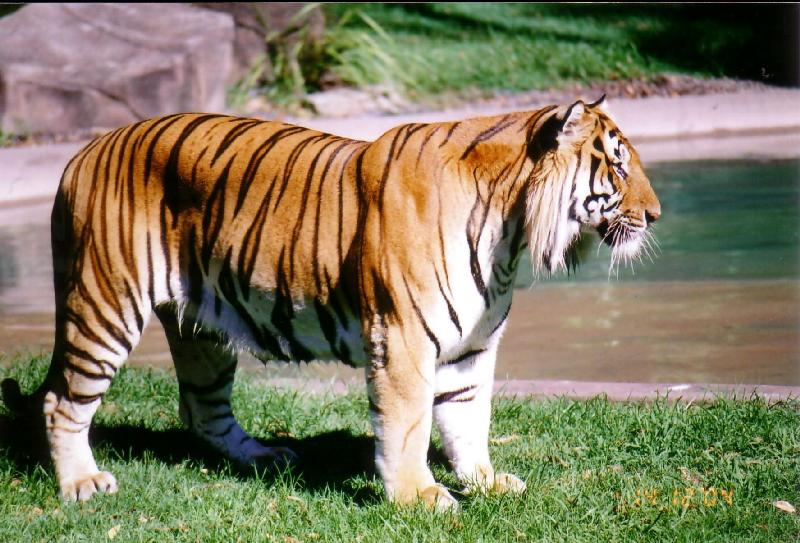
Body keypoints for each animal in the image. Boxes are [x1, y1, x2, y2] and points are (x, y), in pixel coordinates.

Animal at [2, 96, 660, 510]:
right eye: (618, 165)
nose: (655, 214)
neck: (511, 234)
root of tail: (82, 154)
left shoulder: (469, 347)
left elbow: (469, 419)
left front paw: (487, 482)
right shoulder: (403, 338)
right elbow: (410, 423)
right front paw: (418, 497)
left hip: (204, 329)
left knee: (202, 408)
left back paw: (263, 455)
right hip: (104, 304)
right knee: (61, 400)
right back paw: (81, 484)